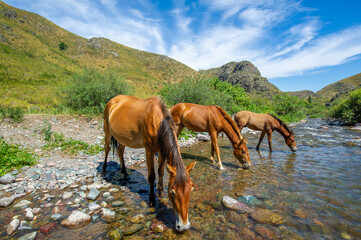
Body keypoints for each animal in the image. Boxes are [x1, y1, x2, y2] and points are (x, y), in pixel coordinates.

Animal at [102, 95, 195, 231]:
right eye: (173, 192)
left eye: (191, 190)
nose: (183, 226)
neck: (157, 121)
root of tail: (112, 100)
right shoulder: (149, 151)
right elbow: (151, 176)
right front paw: (152, 199)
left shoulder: (161, 150)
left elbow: (161, 171)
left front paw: (160, 191)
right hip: (107, 132)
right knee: (107, 149)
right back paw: (103, 171)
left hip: (123, 138)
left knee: (120, 151)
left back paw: (125, 173)